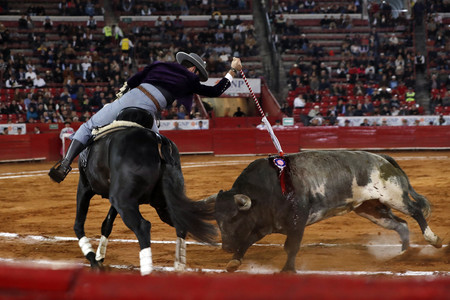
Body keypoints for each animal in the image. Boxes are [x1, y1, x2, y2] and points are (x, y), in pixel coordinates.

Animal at [73, 109, 216, 276]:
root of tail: (157, 140)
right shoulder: (114, 195)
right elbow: (107, 224)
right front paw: (99, 256)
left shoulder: (85, 187)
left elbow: (79, 224)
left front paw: (93, 258)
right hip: (162, 203)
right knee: (180, 222)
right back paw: (179, 265)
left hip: (123, 200)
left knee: (142, 226)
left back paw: (148, 270)